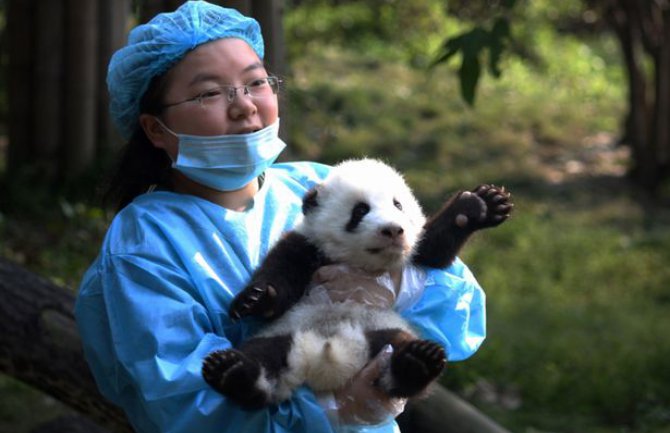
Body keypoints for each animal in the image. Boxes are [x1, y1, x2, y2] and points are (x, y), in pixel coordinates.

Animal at [202, 158, 512, 408]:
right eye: (360, 210)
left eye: (398, 205)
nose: (393, 230)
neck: (361, 263)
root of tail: (326, 360)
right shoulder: (307, 245)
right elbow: (280, 279)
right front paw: (254, 299)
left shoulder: (412, 253)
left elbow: (434, 250)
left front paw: (481, 204)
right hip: (286, 331)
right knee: (262, 356)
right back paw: (233, 372)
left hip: (380, 331)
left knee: (398, 354)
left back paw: (417, 363)